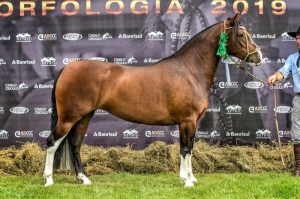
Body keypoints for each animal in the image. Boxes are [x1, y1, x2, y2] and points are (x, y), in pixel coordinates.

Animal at [43, 13, 262, 187]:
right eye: (240, 34)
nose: (258, 57)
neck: (189, 71)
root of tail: (67, 68)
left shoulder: (194, 122)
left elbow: (190, 148)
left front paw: (191, 178)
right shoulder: (187, 121)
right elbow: (184, 149)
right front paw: (186, 181)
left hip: (84, 116)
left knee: (75, 144)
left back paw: (84, 179)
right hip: (69, 118)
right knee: (52, 142)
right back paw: (49, 180)